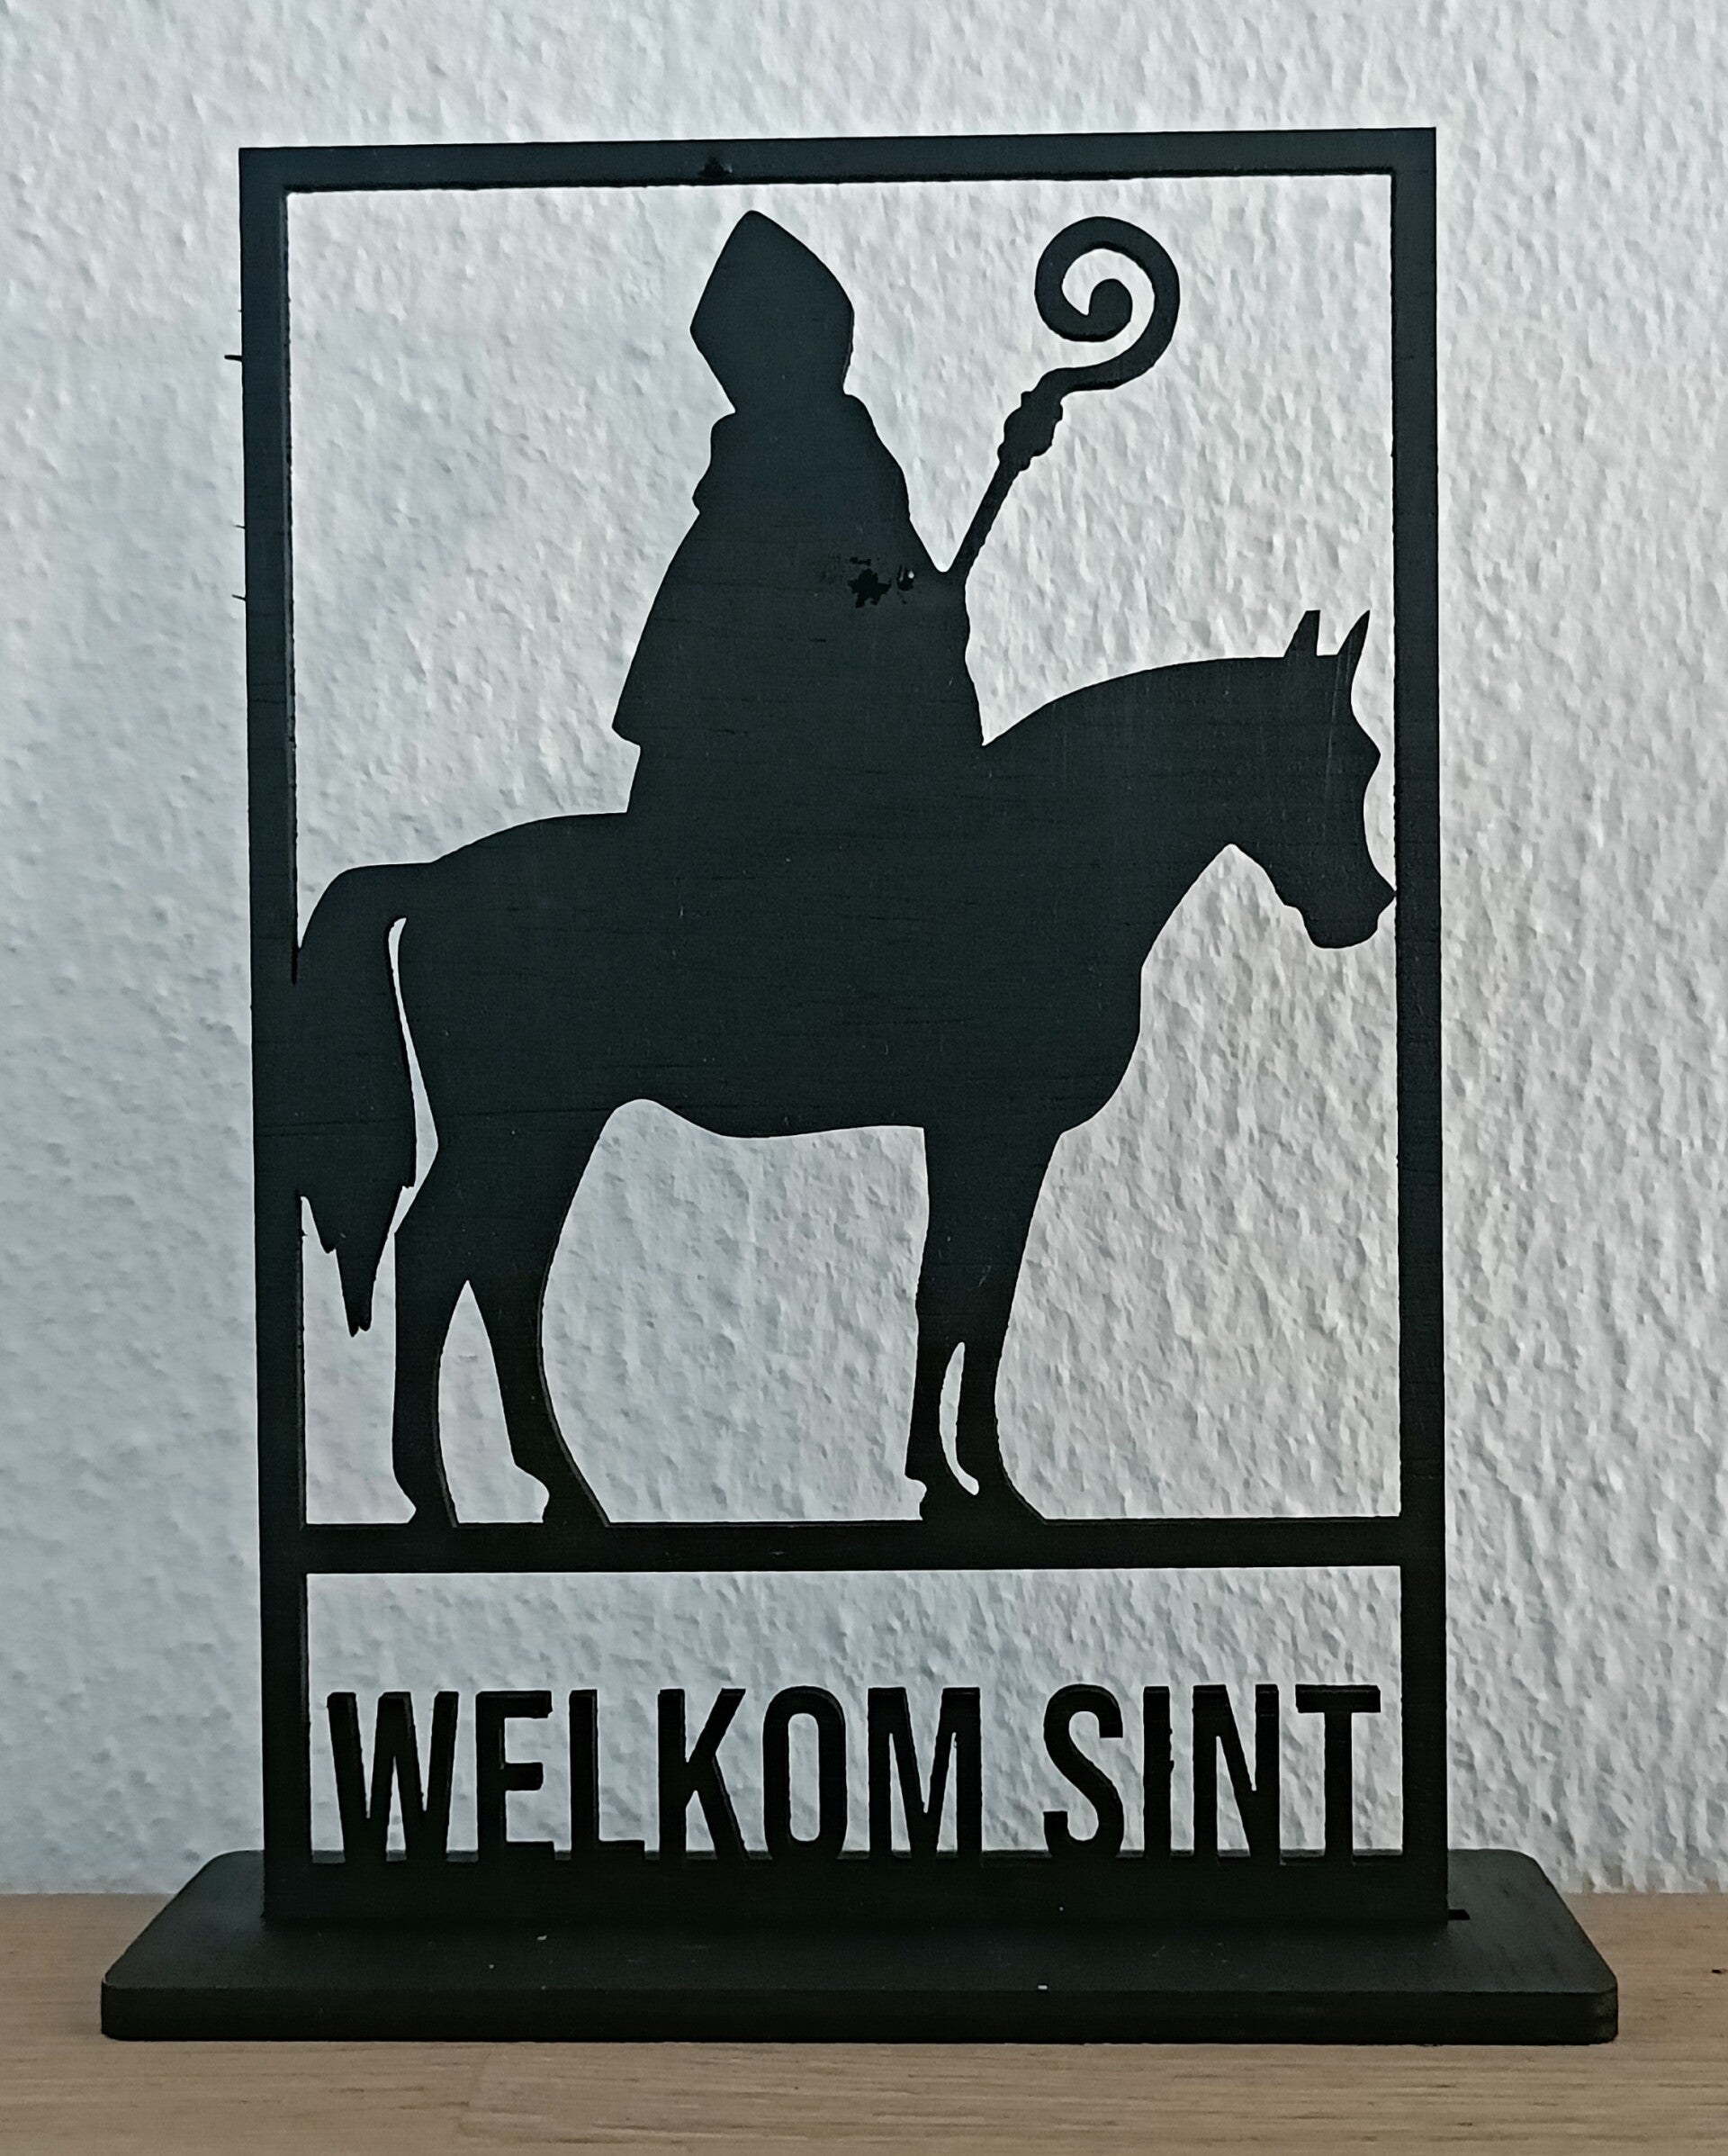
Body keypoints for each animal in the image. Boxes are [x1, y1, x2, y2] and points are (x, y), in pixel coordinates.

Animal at [285, 609, 1391, 1535]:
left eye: (1368, 756)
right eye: (1329, 756)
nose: (1365, 908)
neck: (1039, 866)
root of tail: (428, 882)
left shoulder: (990, 1135)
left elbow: (973, 1290)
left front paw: (962, 1480)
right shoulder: (994, 1127)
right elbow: (961, 1289)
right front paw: (968, 1484)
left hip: (546, 1127)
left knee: (500, 1270)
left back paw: (555, 1491)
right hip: (521, 1125)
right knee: (442, 1256)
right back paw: (440, 1497)